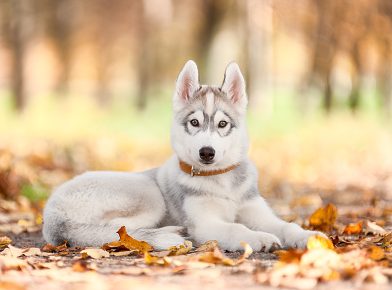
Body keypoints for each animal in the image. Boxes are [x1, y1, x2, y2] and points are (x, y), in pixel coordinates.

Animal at [43, 61, 324, 251]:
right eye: (194, 122)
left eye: (222, 124)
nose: (207, 152)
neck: (221, 182)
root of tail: (52, 216)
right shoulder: (205, 223)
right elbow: (235, 227)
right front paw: (258, 238)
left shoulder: (258, 212)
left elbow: (286, 225)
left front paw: (308, 236)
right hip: (149, 195)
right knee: (120, 232)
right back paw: (169, 232)